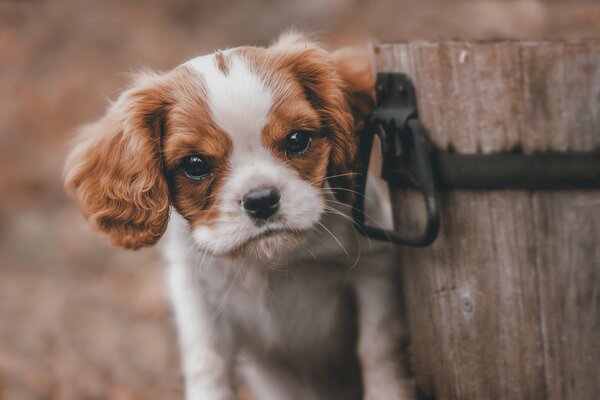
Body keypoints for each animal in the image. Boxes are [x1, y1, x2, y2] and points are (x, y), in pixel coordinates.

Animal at [65, 32, 412, 398]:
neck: (267, 261)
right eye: (195, 165)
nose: (261, 200)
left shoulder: (374, 267)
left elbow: (377, 347)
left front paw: (387, 393)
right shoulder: (197, 294)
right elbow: (207, 364)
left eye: (297, 140)